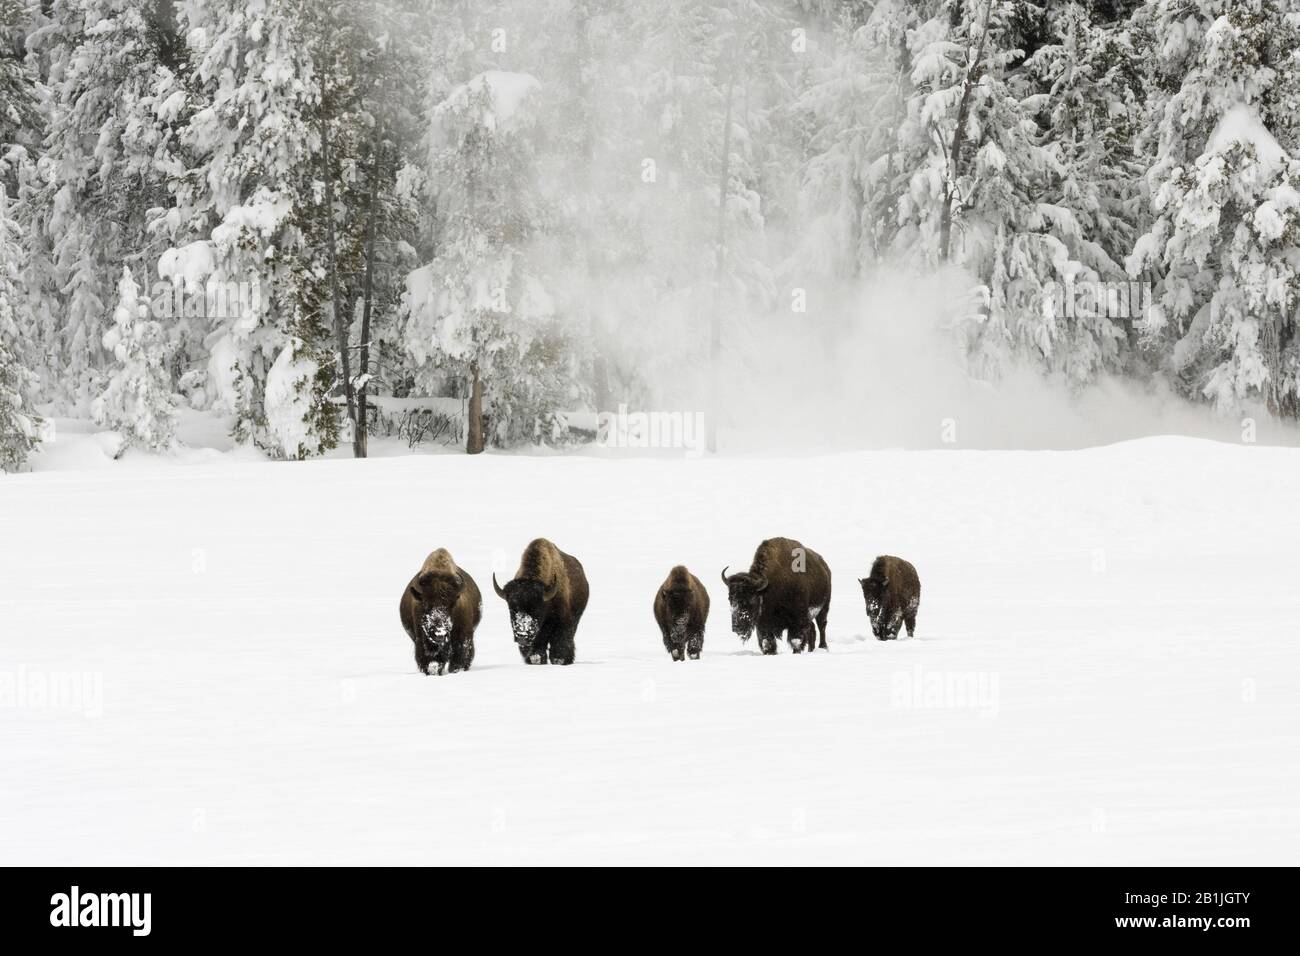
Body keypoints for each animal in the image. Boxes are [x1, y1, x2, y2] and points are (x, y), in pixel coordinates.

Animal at [395, 548, 483, 676]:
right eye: (425, 603)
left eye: (452, 604)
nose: (439, 632)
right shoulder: (422, 642)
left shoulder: (463, 639)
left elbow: (457, 660)